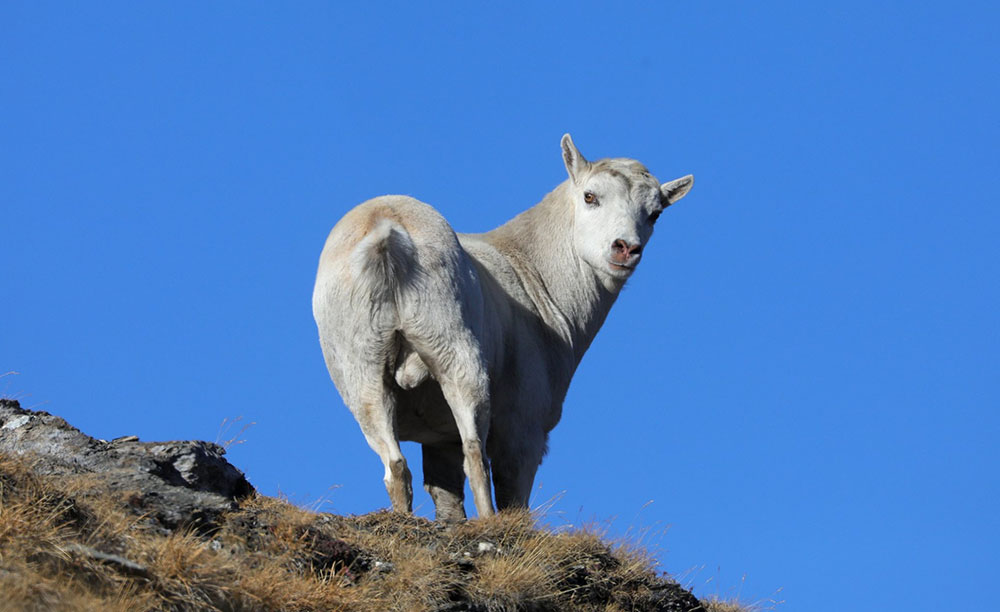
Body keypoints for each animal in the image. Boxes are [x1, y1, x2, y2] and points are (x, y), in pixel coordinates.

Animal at [314, 135, 696, 520]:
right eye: (590, 196)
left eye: (655, 213)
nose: (625, 249)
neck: (534, 273)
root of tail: (387, 231)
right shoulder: (523, 427)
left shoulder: (438, 439)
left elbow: (447, 498)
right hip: (457, 354)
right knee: (474, 454)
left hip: (363, 370)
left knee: (395, 464)